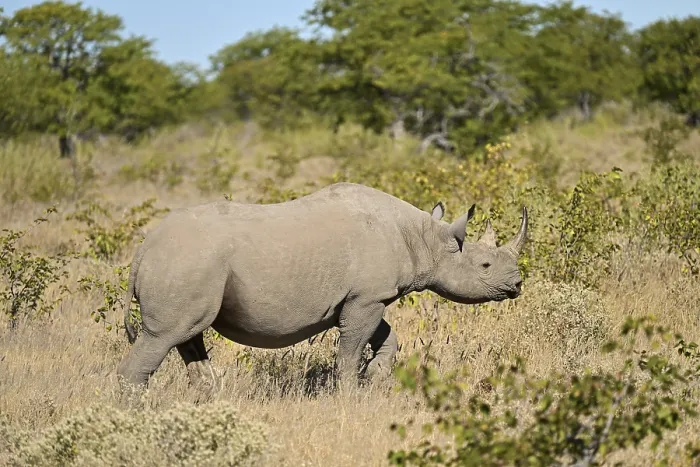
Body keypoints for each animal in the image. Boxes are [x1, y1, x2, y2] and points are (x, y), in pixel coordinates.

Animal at [116, 182, 527, 395]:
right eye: (485, 266)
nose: (518, 284)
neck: (425, 237)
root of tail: (143, 248)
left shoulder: (367, 295)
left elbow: (387, 337)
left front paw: (375, 376)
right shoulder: (367, 298)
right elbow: (349, 351)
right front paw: (349, 394)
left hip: (188, 265)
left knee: (188, 336)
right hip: (186, 262)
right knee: (163, 336)